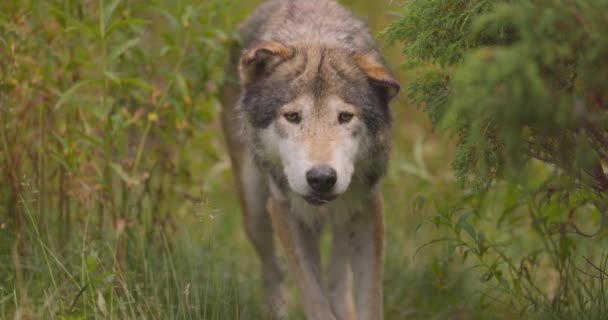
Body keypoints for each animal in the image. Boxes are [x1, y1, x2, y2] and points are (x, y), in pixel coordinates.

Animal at [218, 1, 400, 318]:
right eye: (292, 117)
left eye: (344, 117)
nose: (321, 178)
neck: (316, 37)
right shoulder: (286, 212)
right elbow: (315, 299)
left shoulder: (367, 207)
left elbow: (369, 300)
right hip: (255, 213)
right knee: (274, 271)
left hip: (345, 219)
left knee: (336, 282)